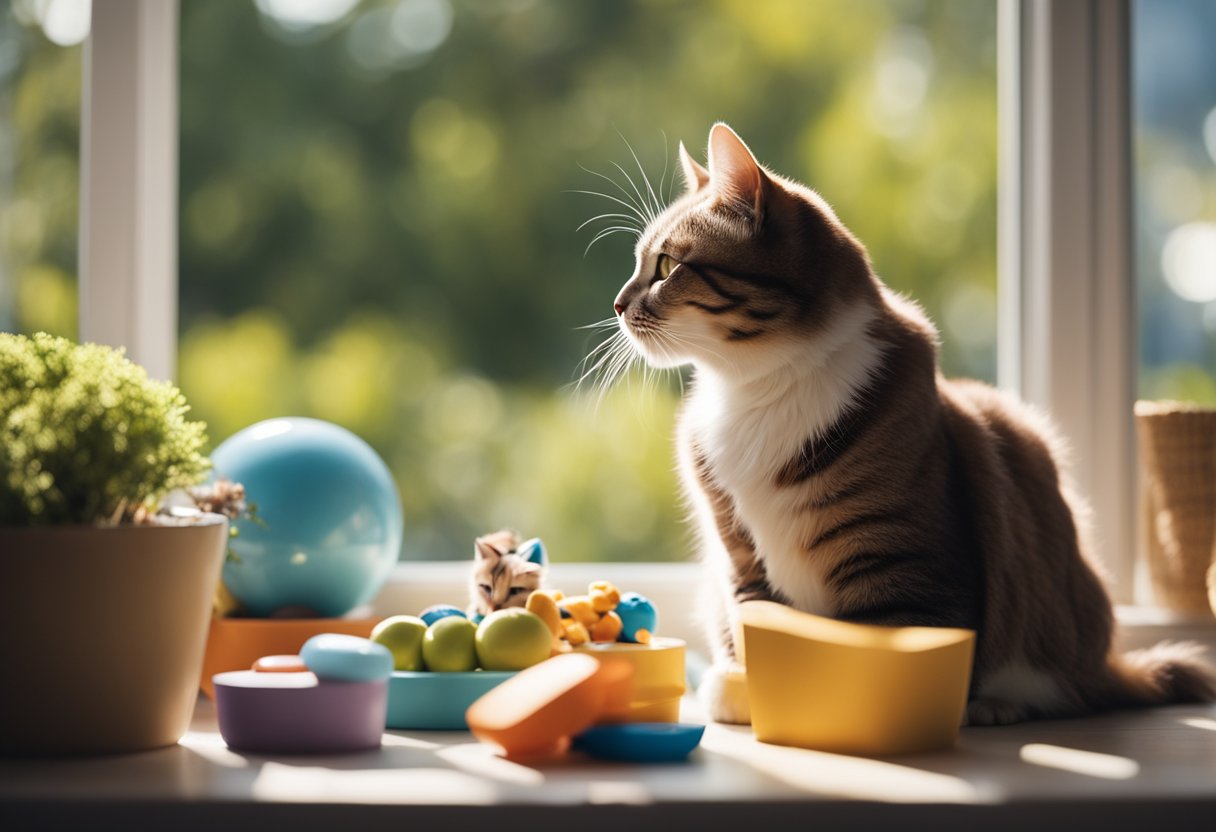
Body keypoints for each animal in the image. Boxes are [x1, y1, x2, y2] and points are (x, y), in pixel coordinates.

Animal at [608, 120, 1216, 724]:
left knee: (1054, 688)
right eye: (637, 263)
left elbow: (874, 661)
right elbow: (751, 623)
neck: (754, 392)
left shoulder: (903, 570)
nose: (616, 304)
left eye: (666, 267)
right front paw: (745, 690)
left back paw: (995, 705)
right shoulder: (739, 556)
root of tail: (1106, 666)